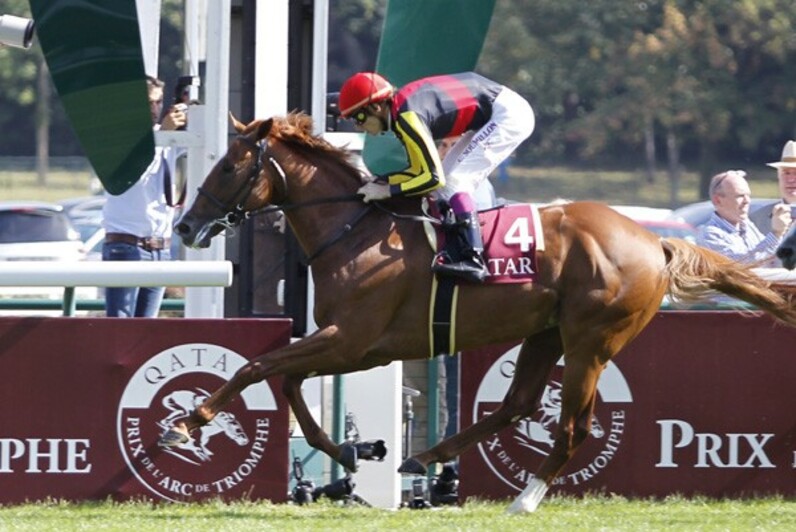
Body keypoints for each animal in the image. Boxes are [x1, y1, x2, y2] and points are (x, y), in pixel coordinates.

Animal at [159, 111, 796, 513]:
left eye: (226, 168)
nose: (186, 228)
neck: (353, 230)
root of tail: (653, 241)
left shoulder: (354, 340)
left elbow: (258, 368)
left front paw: (188, 421)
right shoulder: (353, 344)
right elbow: (285, 378)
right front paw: (353, 450)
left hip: (592, 341)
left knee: (571, 426)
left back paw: (523, 499)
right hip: (546, 333)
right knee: (518, 405)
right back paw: (425, 457)